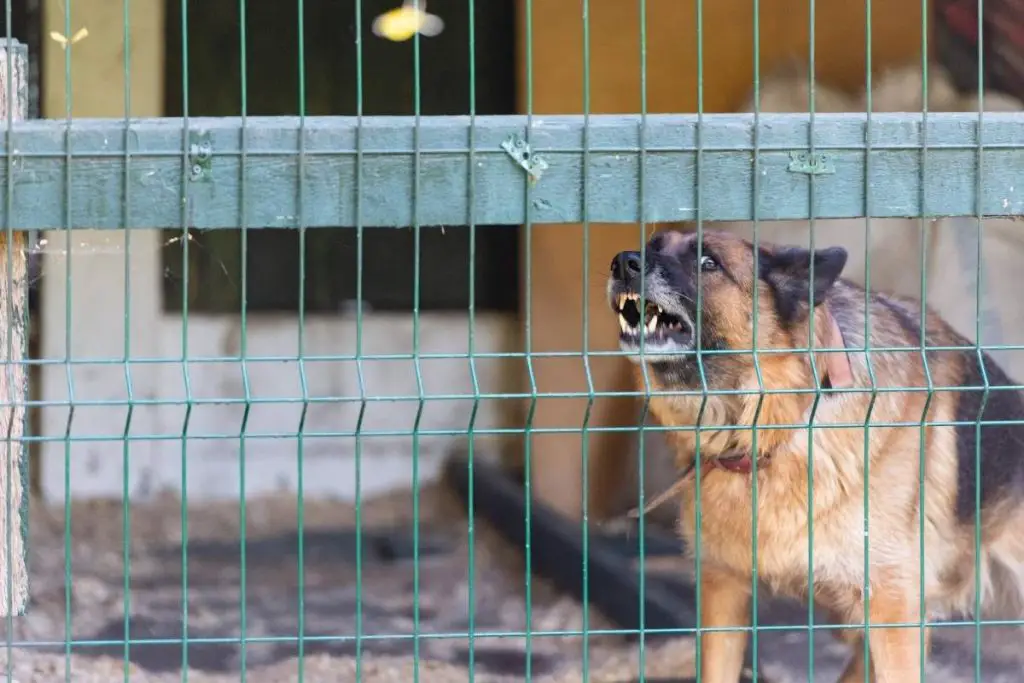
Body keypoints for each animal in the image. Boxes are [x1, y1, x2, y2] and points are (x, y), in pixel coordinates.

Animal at [602, 231, 1024, 683]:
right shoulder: (722, 594)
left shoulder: (893, 613)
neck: (767, 434)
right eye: (654, 244)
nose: (622, 263)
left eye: (707, 262)